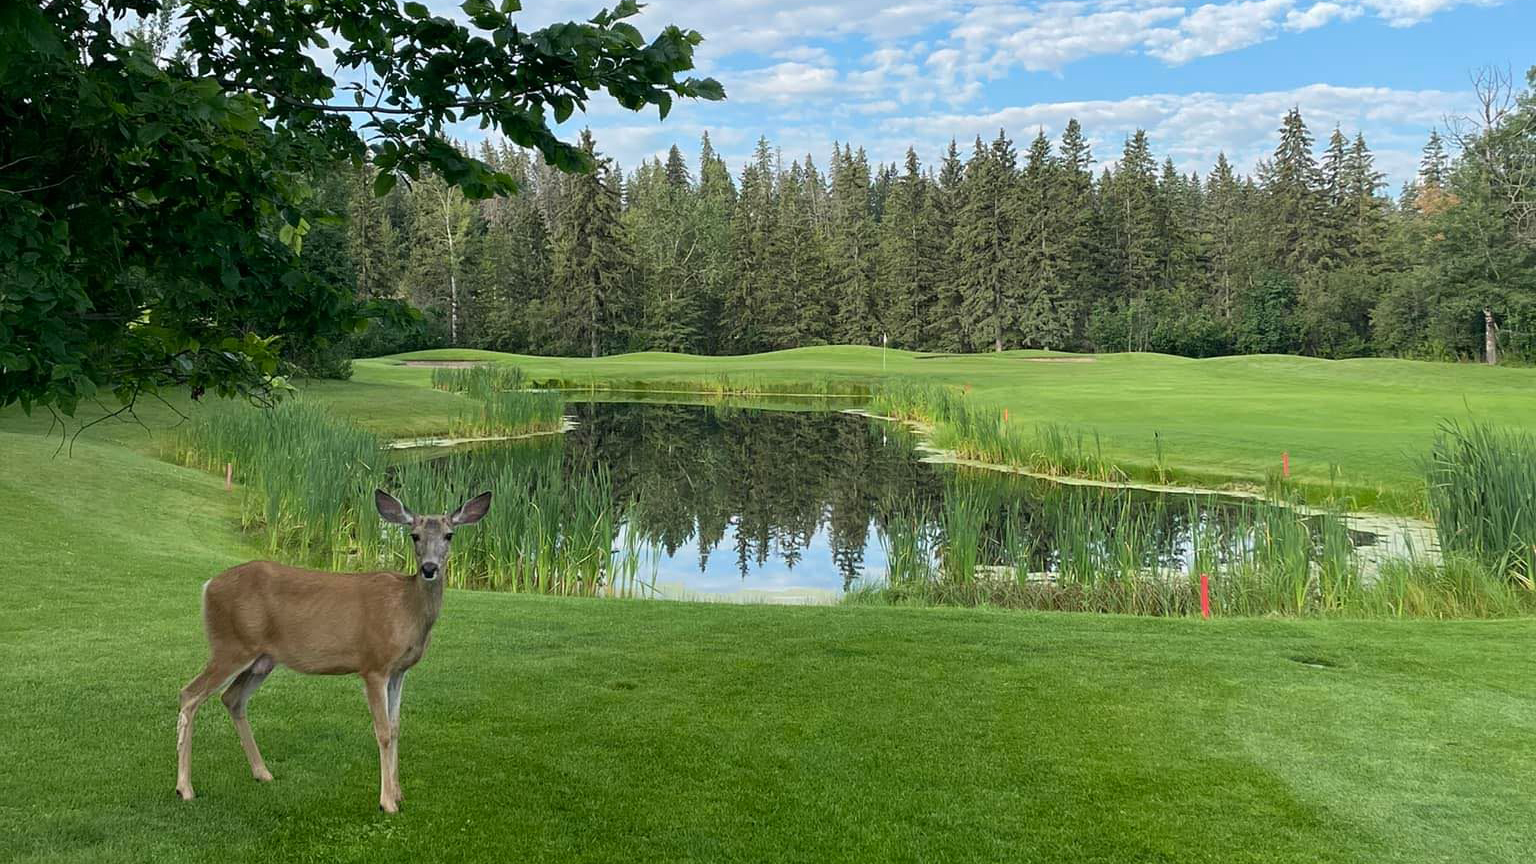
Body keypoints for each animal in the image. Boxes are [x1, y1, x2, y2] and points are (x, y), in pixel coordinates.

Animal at [175, 488, 492, 813]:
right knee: (190, 694)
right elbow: (383, 732)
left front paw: (399, 792)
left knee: (232, 698)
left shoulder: (399, 670)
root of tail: (208, 586)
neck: (407, 609)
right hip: (230, 646)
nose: (429, 569)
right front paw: (387, 802)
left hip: (261, 659)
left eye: (449, 535)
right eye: (414, 535)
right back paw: (185, 788)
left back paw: (262, 773)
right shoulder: (373, 664)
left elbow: (396, 727)